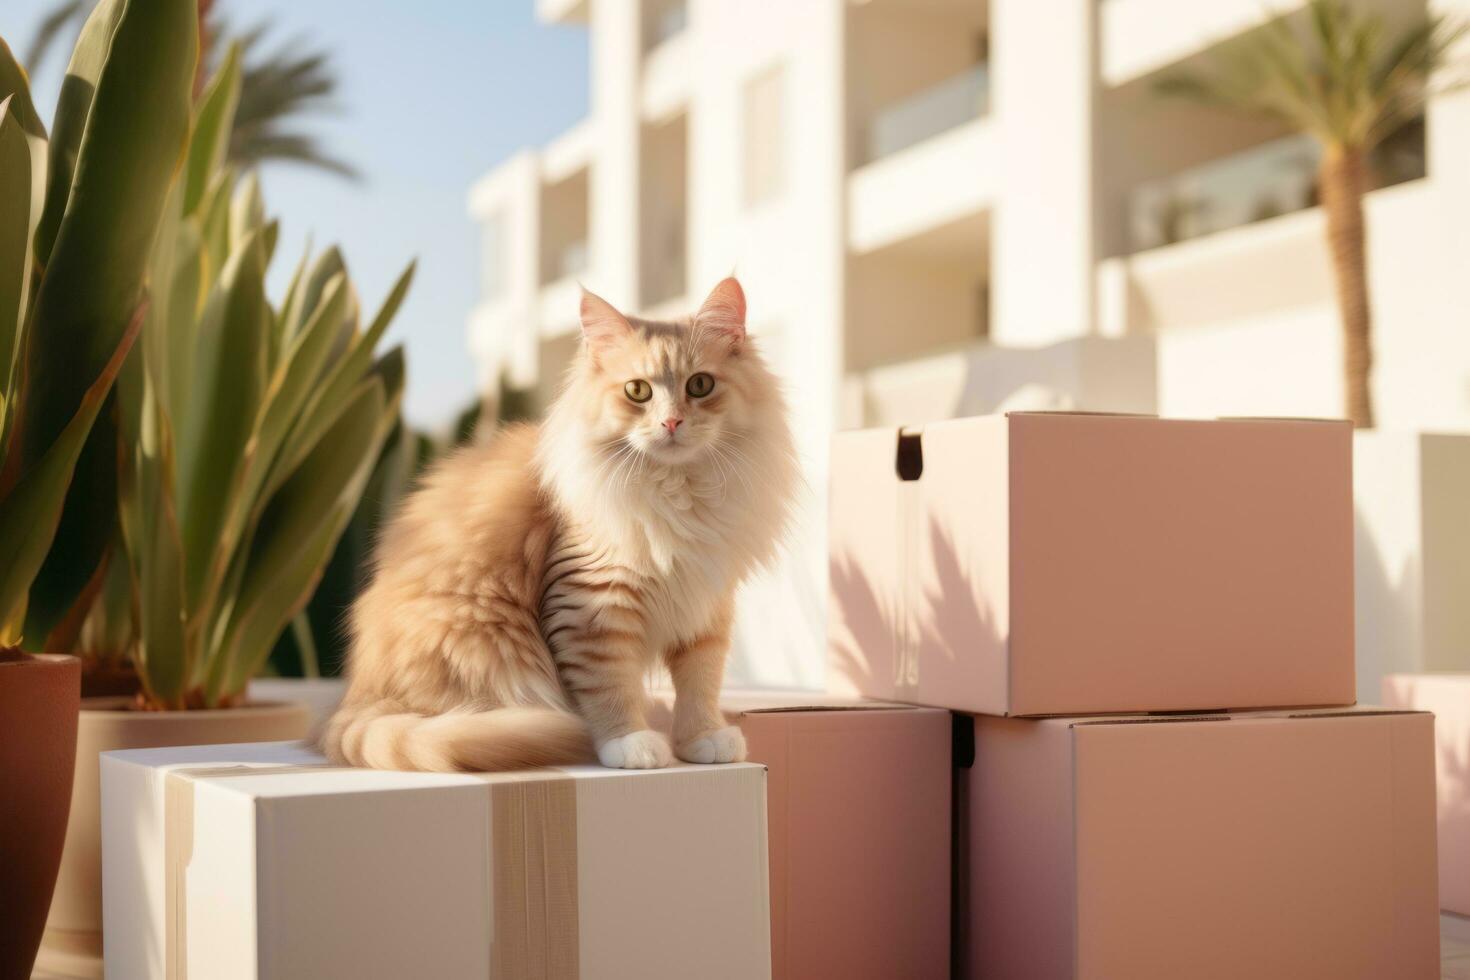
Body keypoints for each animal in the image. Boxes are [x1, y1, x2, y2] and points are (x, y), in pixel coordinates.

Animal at [321, 277, 799, 775]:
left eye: (700, 385)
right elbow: (610, 686)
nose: (672, 422)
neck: (679, 494)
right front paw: (630, 742)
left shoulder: (706, 606)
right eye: (637, 391)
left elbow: (700, 685)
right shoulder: (593, 605)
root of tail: (356, 695)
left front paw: (702, 739)